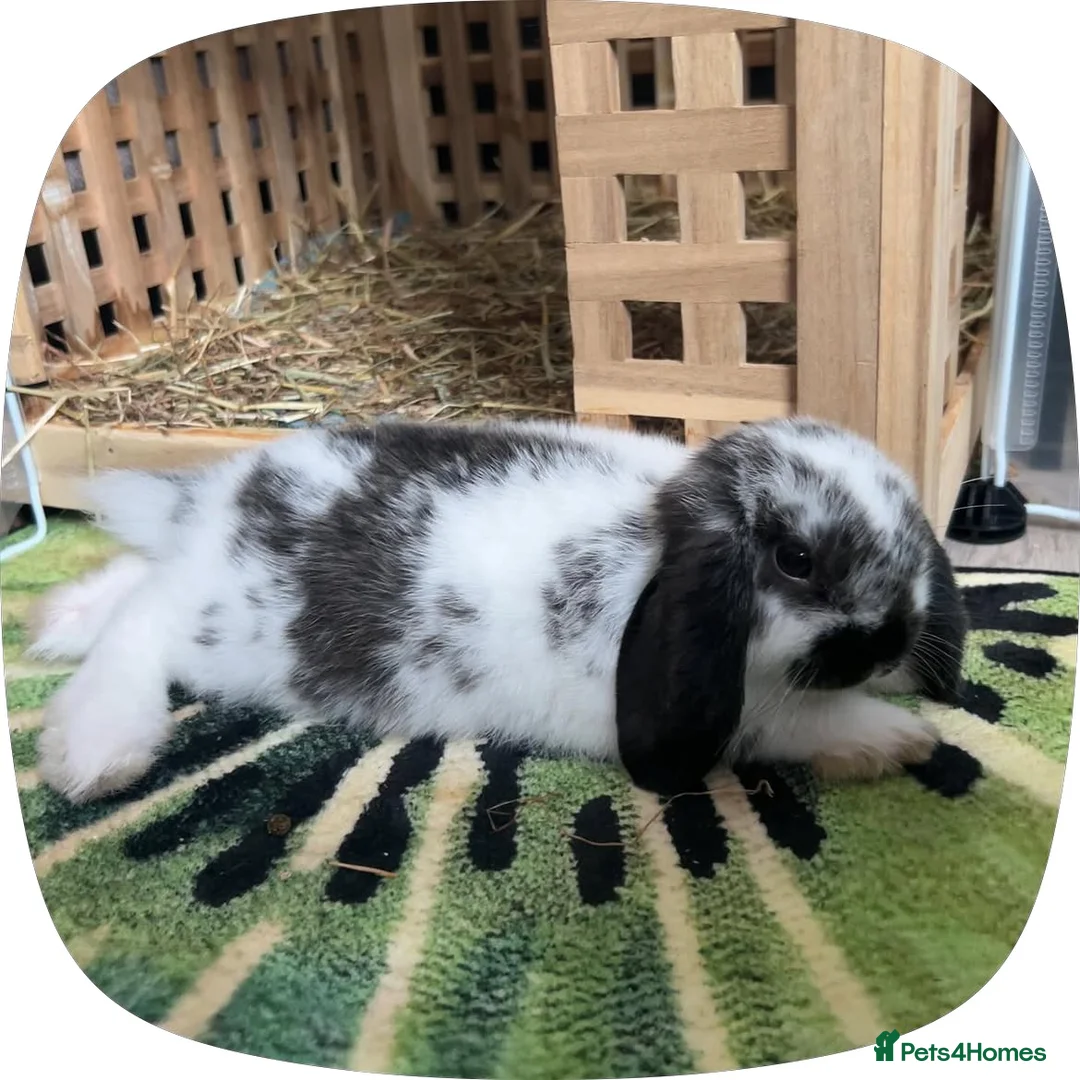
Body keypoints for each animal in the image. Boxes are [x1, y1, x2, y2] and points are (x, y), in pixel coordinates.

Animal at [27, 414, 967, 804]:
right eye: (795, 560)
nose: (892, 642)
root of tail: (225, 495)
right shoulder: (743, 709)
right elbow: (799, 721)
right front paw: (894, 739)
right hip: (224, 629)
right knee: (140, 627)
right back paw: (97, 750)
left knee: (134, 579)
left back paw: (55, 623)